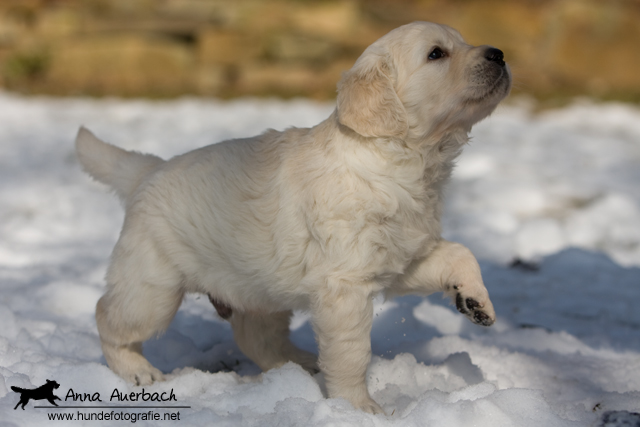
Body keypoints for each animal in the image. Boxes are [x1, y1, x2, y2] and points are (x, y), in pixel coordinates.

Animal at [76, 20, 510, 414]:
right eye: (436, 54)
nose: (500, 54)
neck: (399, 161)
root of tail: (147, 170)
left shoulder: (402, 255)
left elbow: (460, 253)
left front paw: (476, 300)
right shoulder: (344, 285)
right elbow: (352, 353)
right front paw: (358, 406)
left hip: (257, 287)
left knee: (256, 337)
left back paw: (300, 363)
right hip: (153, 288)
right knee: (107, 315)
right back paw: (137, 370)